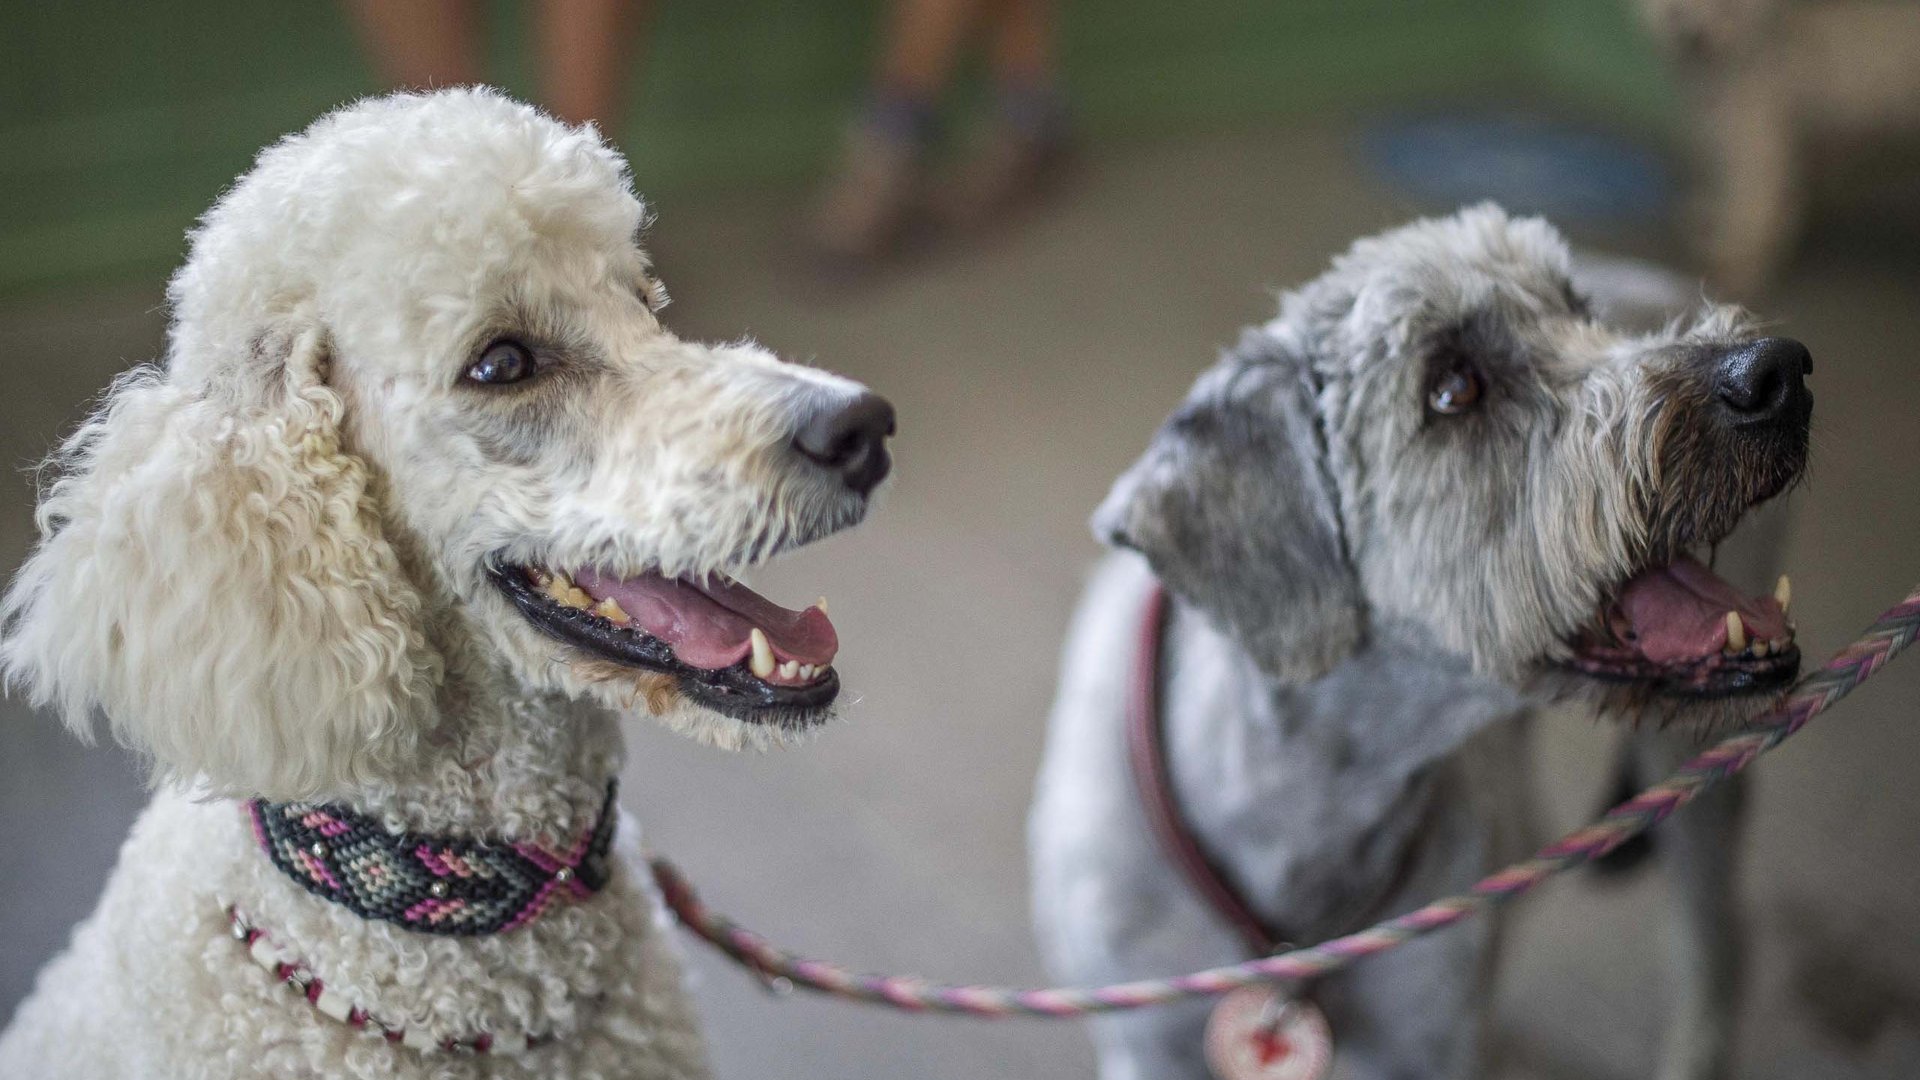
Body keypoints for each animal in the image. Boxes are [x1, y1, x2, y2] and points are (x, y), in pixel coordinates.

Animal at [1029, 203, 1804, 1076]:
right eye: (1452, 388)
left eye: (1581, 311)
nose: (1778, 370)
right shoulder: (1148, 1046)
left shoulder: (1424, 1044)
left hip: (1697, 773)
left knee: (1717, 939)